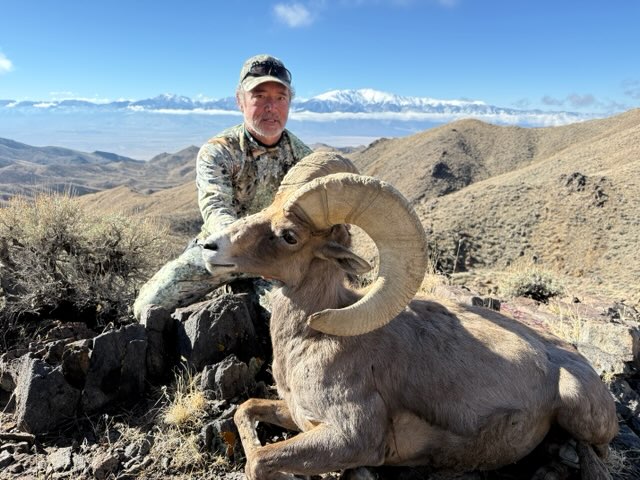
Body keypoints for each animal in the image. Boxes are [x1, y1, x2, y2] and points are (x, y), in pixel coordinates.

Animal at [200, 152, 618, 480]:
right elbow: (245, 411)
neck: (314, 339)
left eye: (289, 236)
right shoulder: (295, 413)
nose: (209, 246)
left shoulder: (350, 438)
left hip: (581, 411)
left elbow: (259, 462)